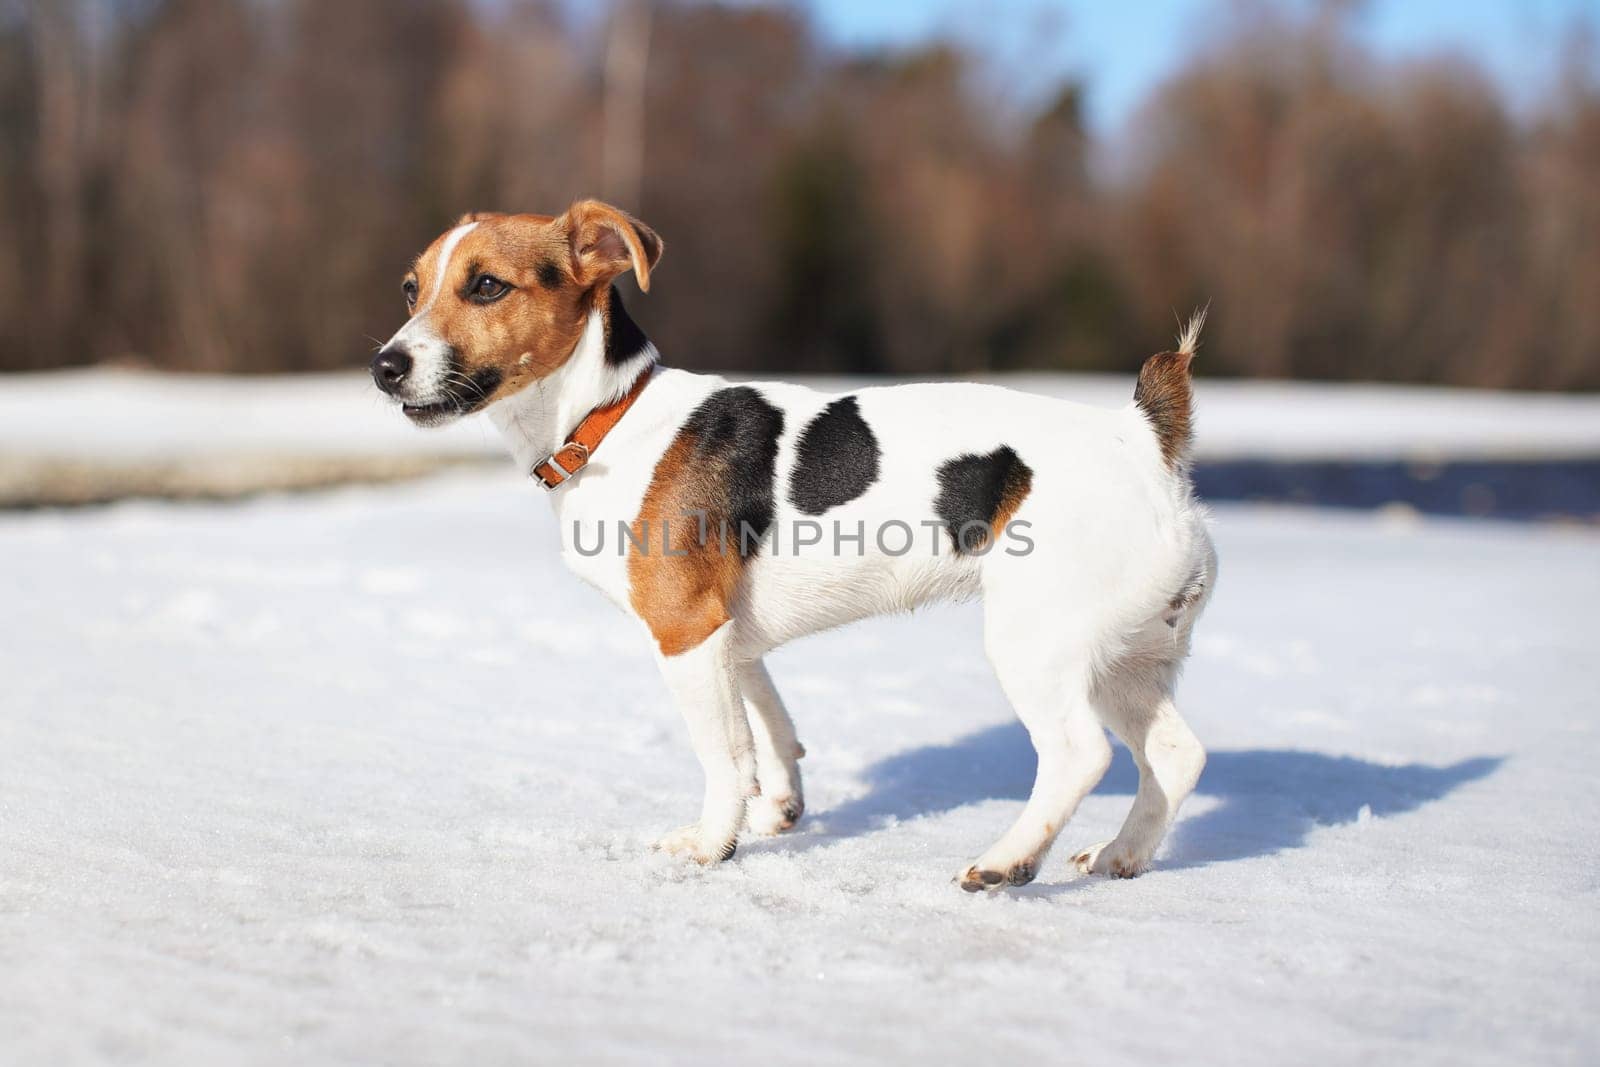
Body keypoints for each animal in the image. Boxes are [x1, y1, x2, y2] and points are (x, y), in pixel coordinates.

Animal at [371, 202, 1209, 895]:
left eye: (487, 286)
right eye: (412, 289)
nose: (384, 367)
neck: (609, 415)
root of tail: (1142, 439)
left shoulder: (686, 630)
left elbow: (722, 753)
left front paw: (710, 845)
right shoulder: (730, 637)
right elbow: (767, 729)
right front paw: (777, 808)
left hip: (1037, 643)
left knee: (1079, 754)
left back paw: (1007, 861)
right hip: (1125, 656)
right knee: (1176, 755)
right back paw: (1121, 855)